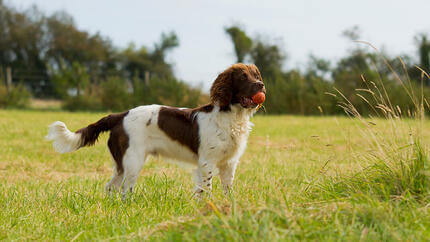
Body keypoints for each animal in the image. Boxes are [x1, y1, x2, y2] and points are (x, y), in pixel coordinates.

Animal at [45, 63, 264, 197]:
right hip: (133, 161)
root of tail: (120, 115)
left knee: (111, 187)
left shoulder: (229, 163)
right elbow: (206, 190)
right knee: (124, 190)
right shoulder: (207, 162)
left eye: (256, 75)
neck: (231, 115)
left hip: (124, 164)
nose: (261, 85)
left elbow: (228, 190)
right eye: (243, 77)